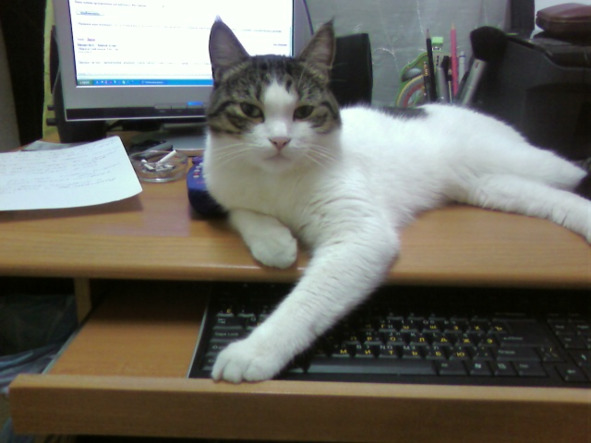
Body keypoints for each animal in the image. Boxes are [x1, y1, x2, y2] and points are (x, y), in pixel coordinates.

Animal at [203, 19, 591, 383]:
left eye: (304, 111)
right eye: (251, 110)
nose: (280, 141)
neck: (276, 180)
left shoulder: (361, 235)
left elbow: (305, 303)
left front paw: (253, 350)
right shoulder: (224, 190)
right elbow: (242, 212)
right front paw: (275, 242)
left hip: (522, 162)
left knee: (571, 174)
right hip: (490, 187)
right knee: (554, 198)